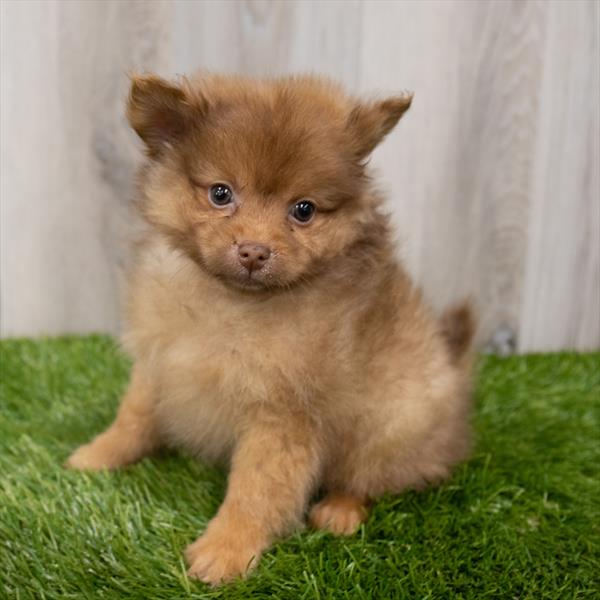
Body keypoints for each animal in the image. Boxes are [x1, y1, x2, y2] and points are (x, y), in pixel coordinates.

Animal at [67, 72, 474, 584]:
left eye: (303, 210)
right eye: (221, 193)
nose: (254, 251)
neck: (231, 305)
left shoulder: (281, 411)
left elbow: (256, 488)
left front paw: (226, 549)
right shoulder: (159, 361)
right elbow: (133, 417)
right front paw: (98, 454)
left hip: (394, 422)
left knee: (370, 476)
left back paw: (340, 510)